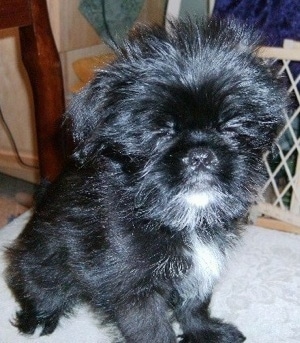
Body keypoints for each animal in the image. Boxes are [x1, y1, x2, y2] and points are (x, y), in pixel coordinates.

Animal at [5, 18, 286, 343]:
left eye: (230, 126)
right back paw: (39, 316)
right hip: (38, 259)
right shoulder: (131, 286)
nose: (201, 154)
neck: (180, 218)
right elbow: (151, 329)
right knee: (39, 285)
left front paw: (204, 331)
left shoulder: (200, 266)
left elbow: (194, 304)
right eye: (159, 131)